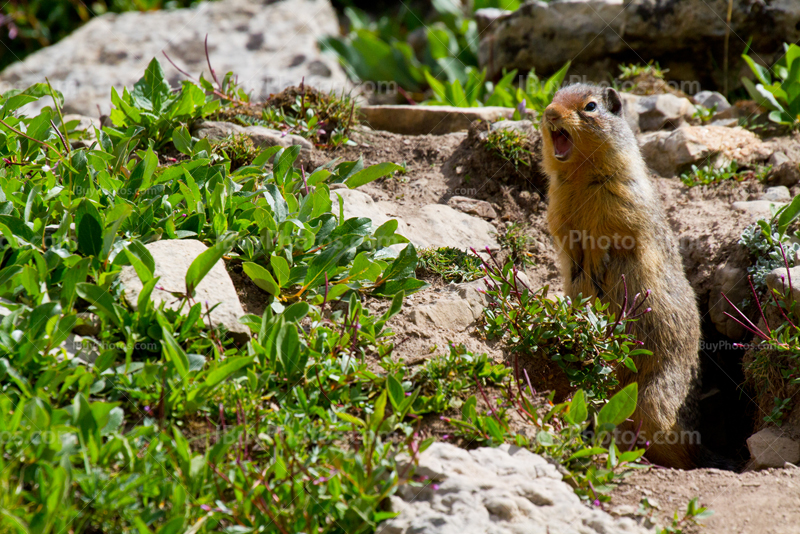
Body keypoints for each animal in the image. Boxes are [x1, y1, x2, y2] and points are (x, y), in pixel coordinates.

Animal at [544, 82, 700, 468]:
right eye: (553, 97)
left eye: (590, 106)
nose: (550, 113)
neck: (580, 175)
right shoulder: (557, 207)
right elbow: (566, 238)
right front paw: (581, 270)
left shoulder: (622, 198)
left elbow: (613, 236)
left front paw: (596, 265)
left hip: (656, 396)